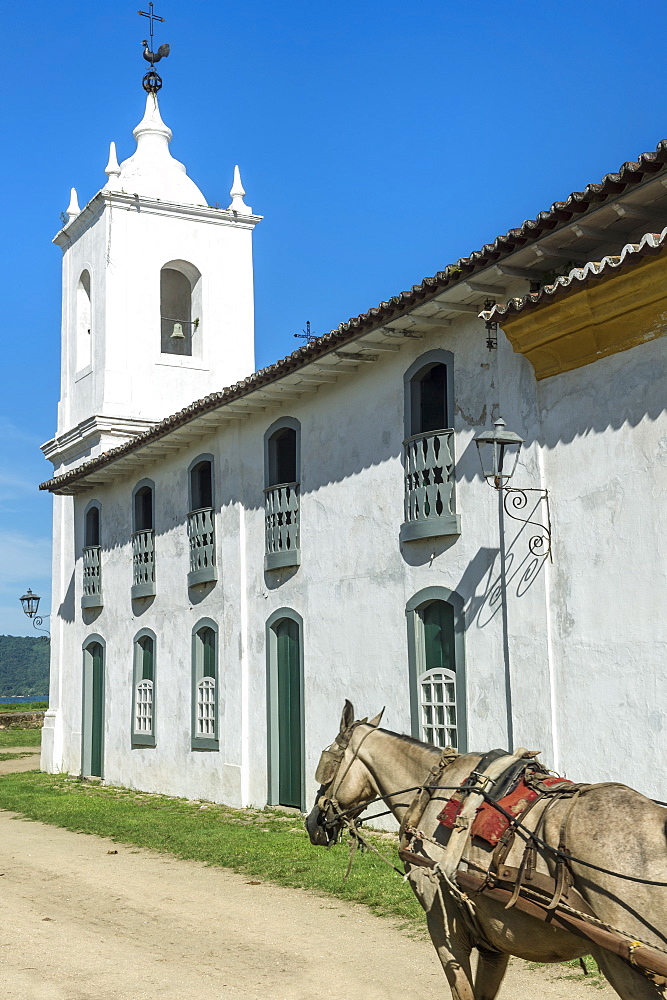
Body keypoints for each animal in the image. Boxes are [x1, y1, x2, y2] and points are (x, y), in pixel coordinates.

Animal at [306, 704, 667, 1000]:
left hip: (621, 959)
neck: (435, 791)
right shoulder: (495, 940)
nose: (313, 822)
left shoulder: (445, 928)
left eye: (328, 761)